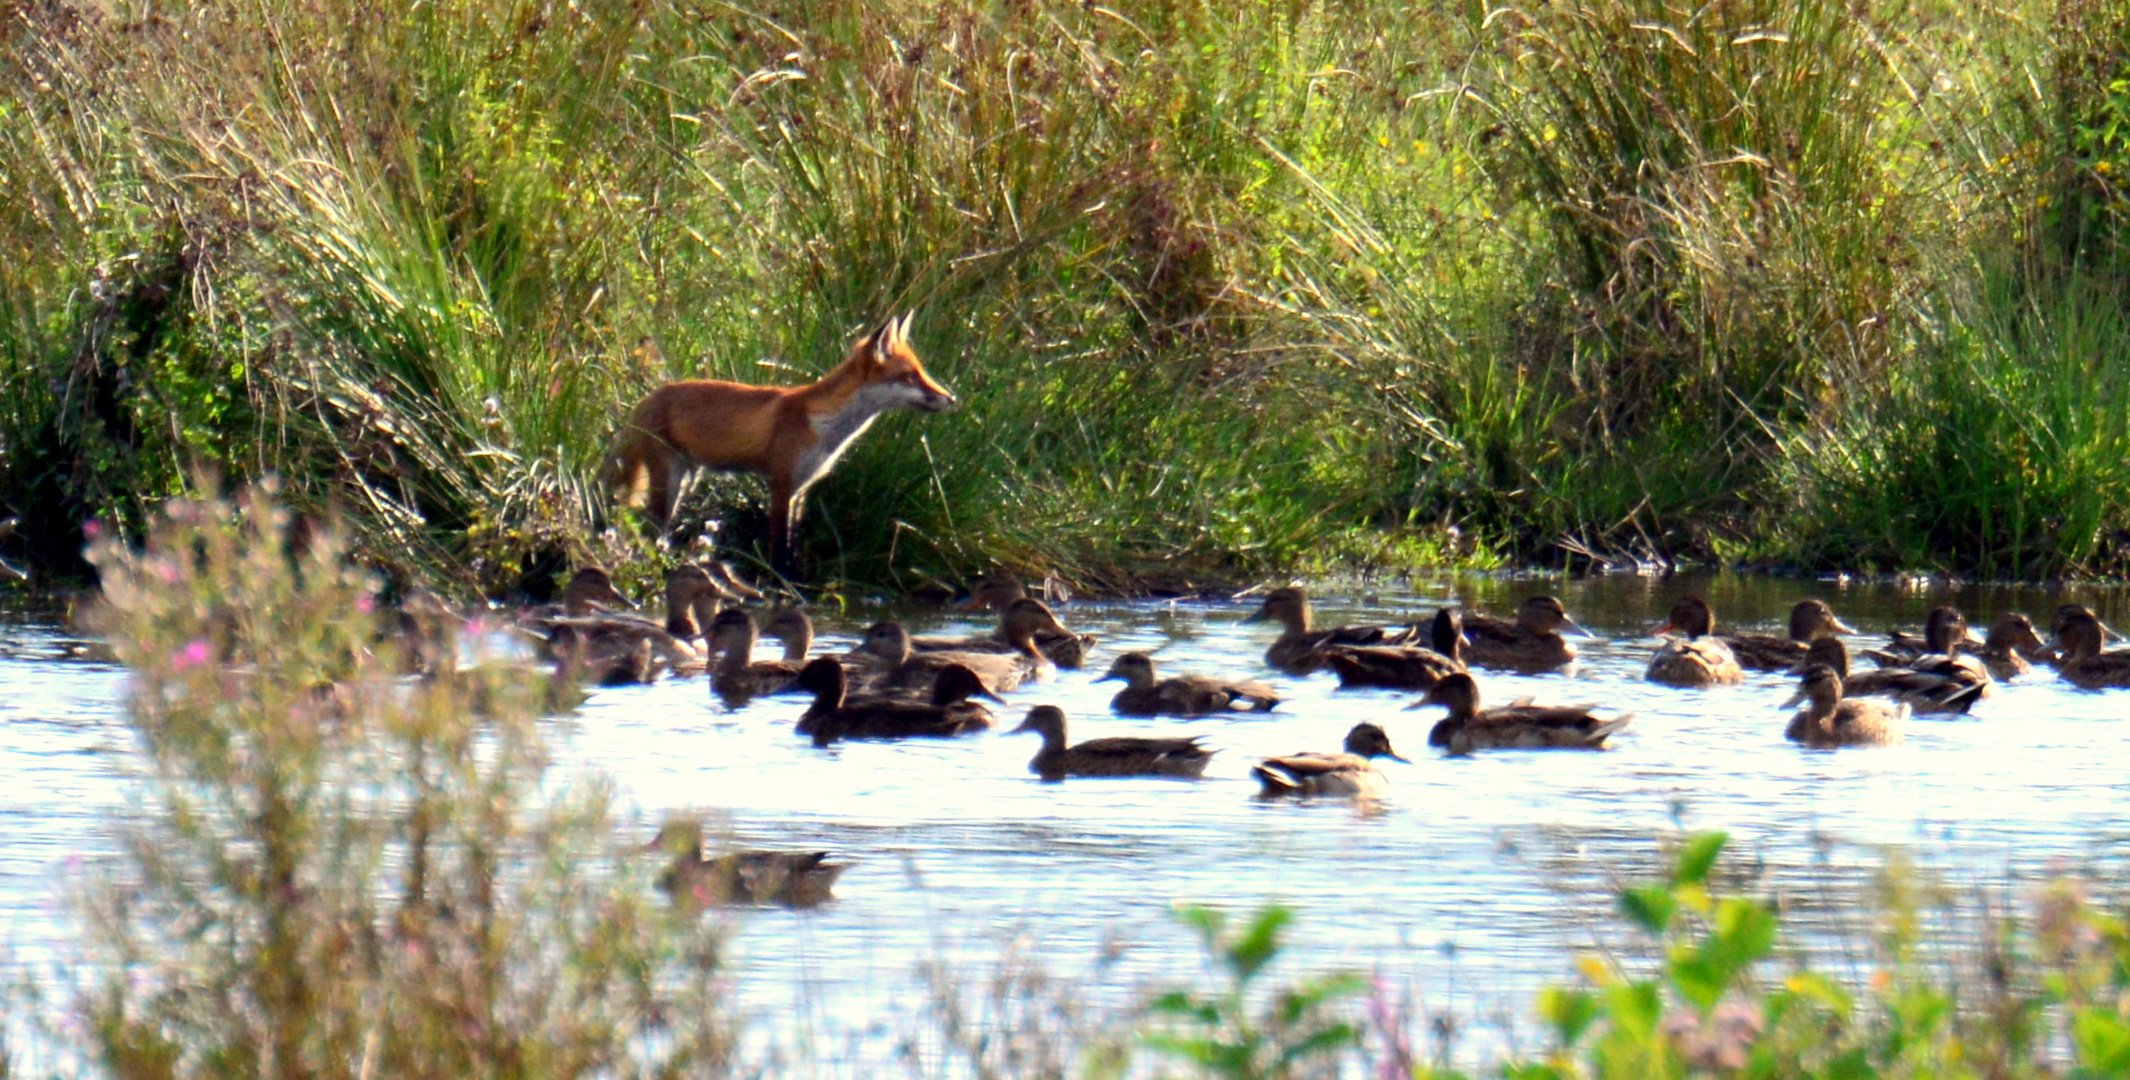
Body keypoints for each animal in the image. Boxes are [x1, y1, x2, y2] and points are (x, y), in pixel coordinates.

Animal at [609, 315, 958, 575]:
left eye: (921, 371)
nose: (952, 398)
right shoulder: (782, 482)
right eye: (910, 376)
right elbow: (779, 547)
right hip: (668, 483)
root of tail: (644, 400)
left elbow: (792, 543)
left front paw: (794, 581)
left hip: (686, 481)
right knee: (650, 530)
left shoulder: (801, 490)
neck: (826, 427)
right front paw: (782, 586)